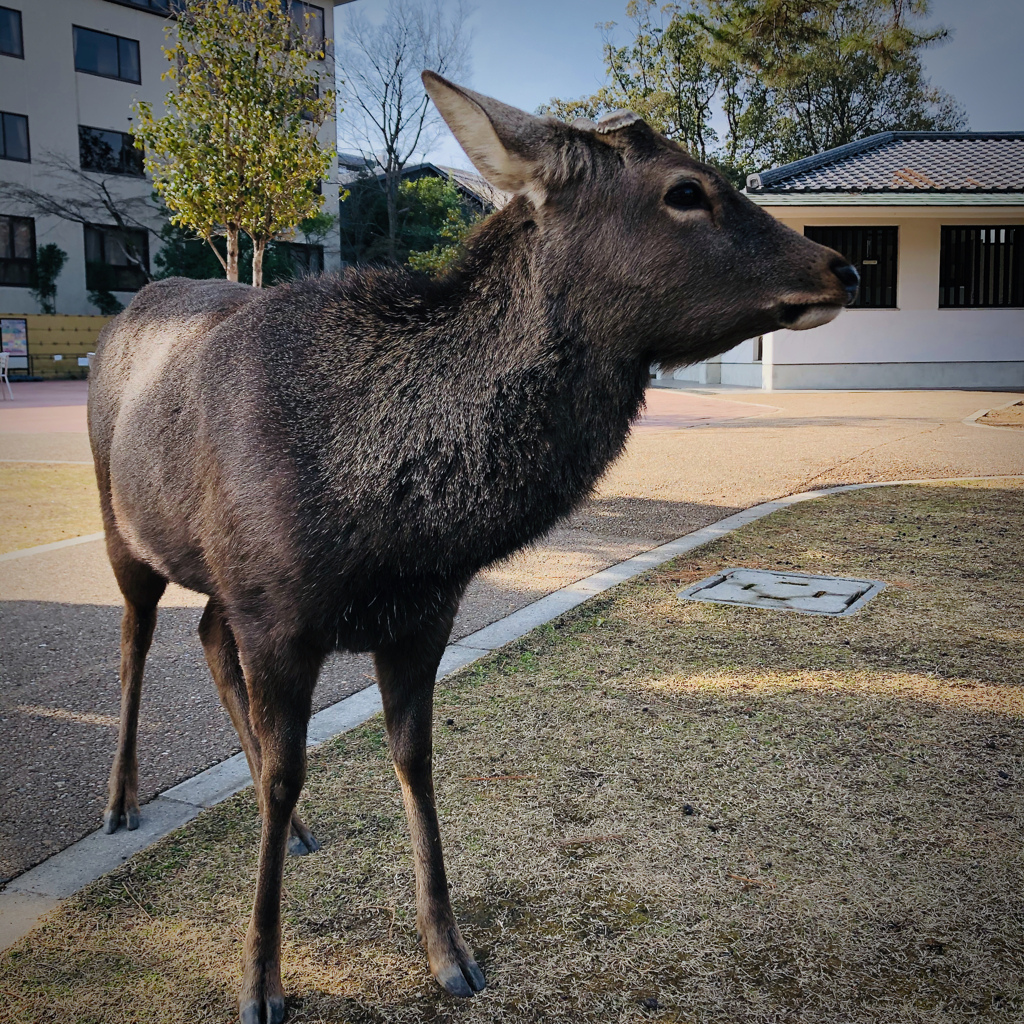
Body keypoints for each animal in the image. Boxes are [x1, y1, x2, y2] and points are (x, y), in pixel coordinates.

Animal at [86, 74, 856, 1024]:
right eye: (686, 190)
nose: (840, 265)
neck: (397, 531)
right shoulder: (280, 614)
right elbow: (283, 776)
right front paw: (260, 981)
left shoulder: (423, 614)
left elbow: (414, 763)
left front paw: (449, 952)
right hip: (121, 524)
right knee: (135, 641)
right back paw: (119, 802)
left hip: (215, 574)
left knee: (203, 637)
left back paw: (295, 832)